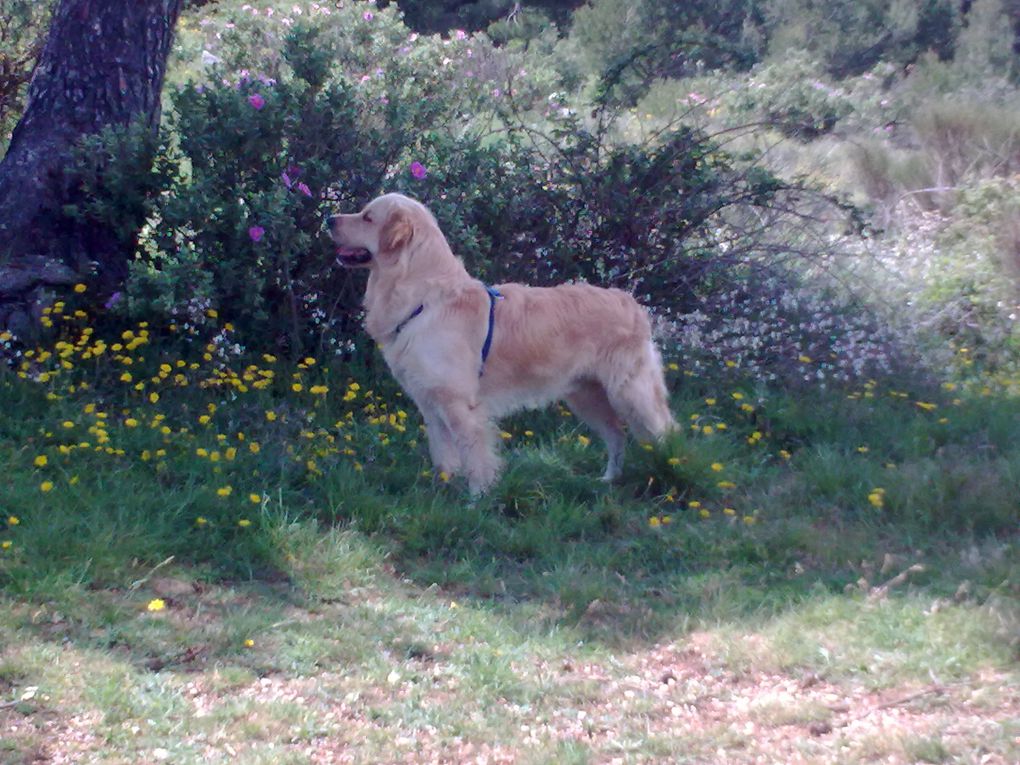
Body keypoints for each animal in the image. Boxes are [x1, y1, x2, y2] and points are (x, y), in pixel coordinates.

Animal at [328, 194, 677, 497]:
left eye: (367, 217)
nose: (329, 219)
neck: (426, 299)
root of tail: (631, 301)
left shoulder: (460, 405)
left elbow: (475, 457)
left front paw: (477, 499)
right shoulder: (431, 404)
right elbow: (443, 456)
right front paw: (441, 493)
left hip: (630, 392)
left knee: (664, 431)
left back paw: (669, 470)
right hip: (586, 395)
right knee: (617, 435)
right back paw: (609, 479)